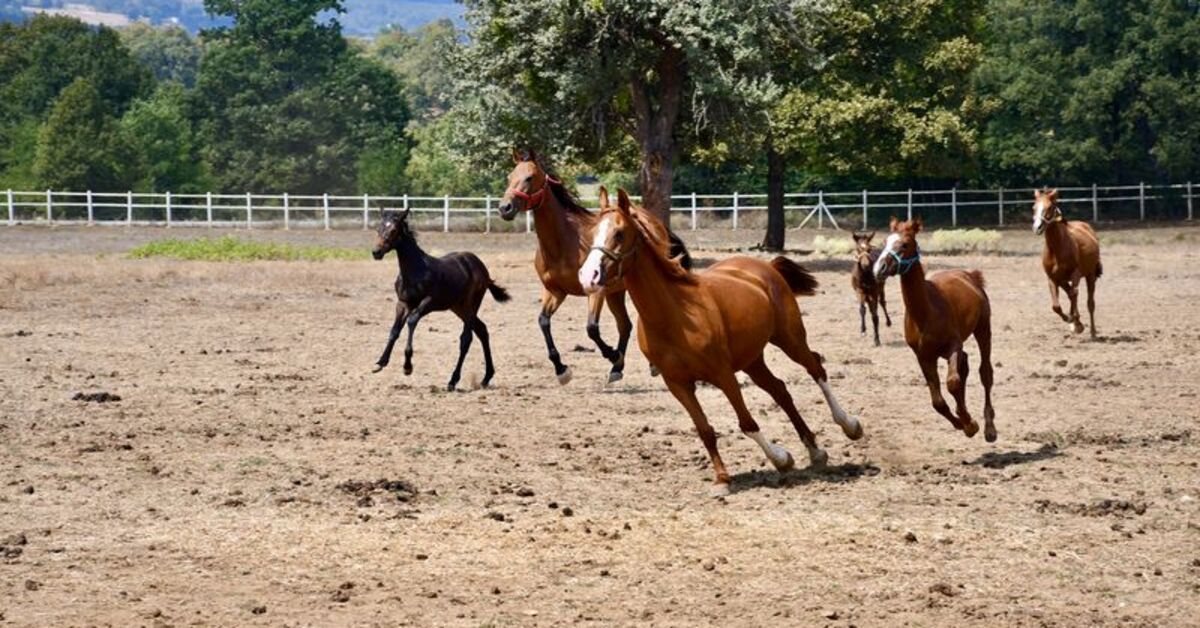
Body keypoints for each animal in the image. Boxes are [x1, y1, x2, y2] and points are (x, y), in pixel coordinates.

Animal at [369, 208, 511, 391]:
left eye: (393, 230)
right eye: (378, 229)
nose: (376, 252)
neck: (415, 270)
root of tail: (480, 265)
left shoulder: (429, 302)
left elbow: (412, 321)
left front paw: (407, 367)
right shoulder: (403, 303)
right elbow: (394, 331)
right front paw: (380, 362)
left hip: (471, 305)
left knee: (466, 338)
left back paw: (453, 380)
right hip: (458, 307)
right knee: (482, 330)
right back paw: (486, 377)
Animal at [492, 151, 691, 386]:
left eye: (530, 177)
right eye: (509, 176)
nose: (505, 208)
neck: (564, 242)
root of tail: (656, 223)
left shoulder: (596, 291)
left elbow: (592, 328)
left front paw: (612, 354)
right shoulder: (555, 291)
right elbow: (543, 322)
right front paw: (562, 369)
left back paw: (646, 364)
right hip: (616, 293)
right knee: (625, 325)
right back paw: (617, 369)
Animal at [580, 187, 864, 497]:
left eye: (619, 233)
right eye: (592, 231)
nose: (588, 276)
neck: (676, 315)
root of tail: (765, 266)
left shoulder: (723, 374)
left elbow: (747, 423)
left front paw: (779, 458)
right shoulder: (677, 383)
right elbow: (704, 429)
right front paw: (723, 479)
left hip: (790, 339)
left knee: (816, 368)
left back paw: (850, 426)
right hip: (752, 359)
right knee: (780, 390)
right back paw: (815, 451)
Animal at [873, 218, 993, 444]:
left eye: (905, 244)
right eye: (885, 241)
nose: (879, 268)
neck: (926, 312)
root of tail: (969, 275)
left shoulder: (953, 345)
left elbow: (953, 383)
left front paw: (970, 423)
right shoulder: (923, 357)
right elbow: (937, 401)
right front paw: (962, 424)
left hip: (983, 329)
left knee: (985, 373)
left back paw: (990, 428)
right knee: (965, 365)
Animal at [1032, 188, 1104, 338]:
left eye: (1050, 207)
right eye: (1034, 207)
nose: (1037, 227)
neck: (1056, 249)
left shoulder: (1075, 274)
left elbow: (1074, 294)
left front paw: (1075, 321)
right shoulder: (1052, 278)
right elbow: (1056, 306)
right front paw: (1071, 320)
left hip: (1090, 275)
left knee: (1089, 302)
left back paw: (1092, 332)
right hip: (1063, 280)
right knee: (1071, 293)